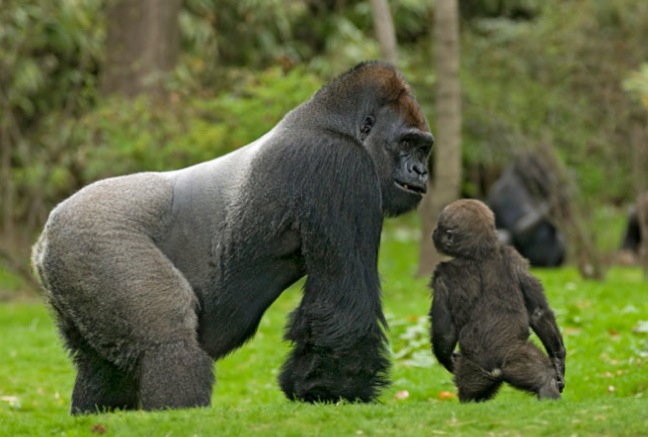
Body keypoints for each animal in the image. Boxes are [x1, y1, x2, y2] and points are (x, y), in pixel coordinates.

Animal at [31, 61, 436, 412]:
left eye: (423, 148)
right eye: (406, 144)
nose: (421, 171)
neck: (331, 122)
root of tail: (44, 241)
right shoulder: (340, 166)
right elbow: (343, 305)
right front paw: (334, 392)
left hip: (72, 270)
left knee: (99, 365)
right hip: (97, 240)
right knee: (168, 346)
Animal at [430, 199, 568, 400]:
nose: (434, 232)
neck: (477, 252)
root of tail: (496, 370)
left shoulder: (441, 276)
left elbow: (444, 330)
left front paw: (558, 359)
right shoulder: (514, 258)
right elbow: (538, 313)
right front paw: (559, 360)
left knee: (542, 378)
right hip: (483, 367)